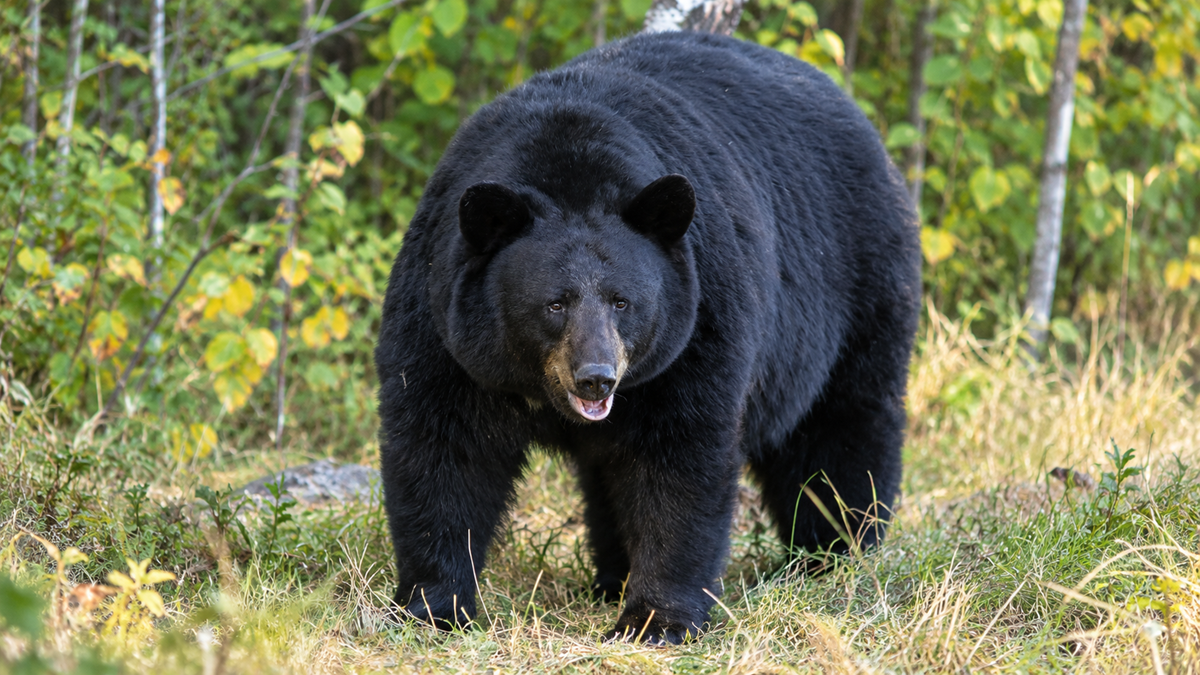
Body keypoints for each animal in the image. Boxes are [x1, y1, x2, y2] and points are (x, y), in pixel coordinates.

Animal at [375, 30, 921, 645]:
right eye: (555, 303)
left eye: (622, 301)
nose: (596, 378)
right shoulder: (443, 322)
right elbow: (443, 450)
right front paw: (431, 607)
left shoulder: (697, 319)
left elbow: (680, 458)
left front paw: (656, 620)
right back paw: (612, 576)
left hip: (854, 288)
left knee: (840, 428)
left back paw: (837, 550)